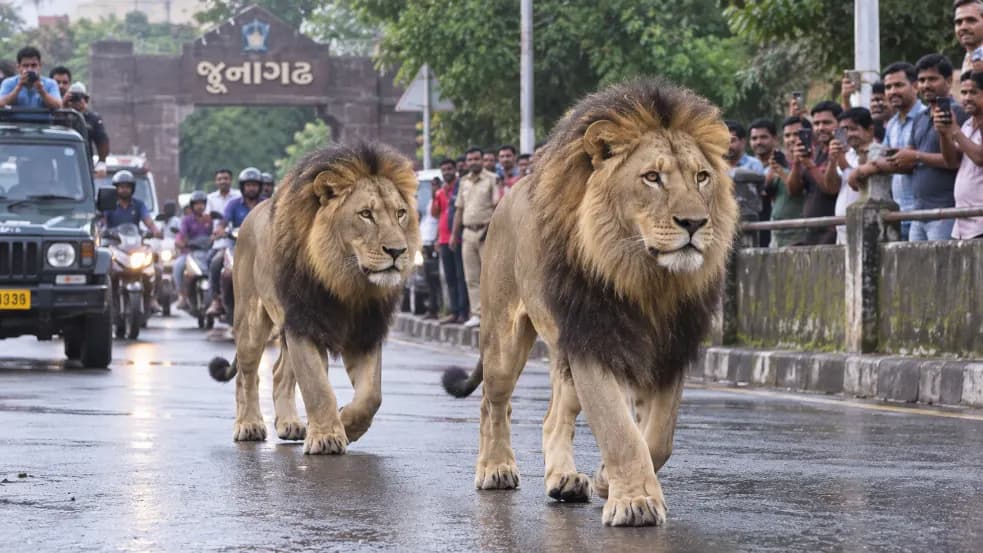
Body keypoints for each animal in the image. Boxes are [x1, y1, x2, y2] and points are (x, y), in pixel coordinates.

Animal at [209, 142, 420, 455]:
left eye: (401, 213)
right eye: (365, 214)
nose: (398, 251)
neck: (347, 282)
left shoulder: (365, 331)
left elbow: (371, 396)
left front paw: (346, 424)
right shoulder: (305, 324)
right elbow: (317, 388)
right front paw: (327, 438)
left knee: (279, 372)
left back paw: (290, 424)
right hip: (251, 322)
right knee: (246, 375)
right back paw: (248, 425)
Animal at [441, 78, 738, 526]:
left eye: (702, 177)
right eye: (652, 177)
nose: (695, 223)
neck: (647, 279)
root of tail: (508, 195)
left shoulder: (669, 349)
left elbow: (658, 438)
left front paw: (605, 479)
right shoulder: (594, 339)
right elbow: (619, 429)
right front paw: (634, 502)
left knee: (552, 418)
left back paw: (564, 480)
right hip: (505, 340)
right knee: (493, 405)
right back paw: (495, 468)